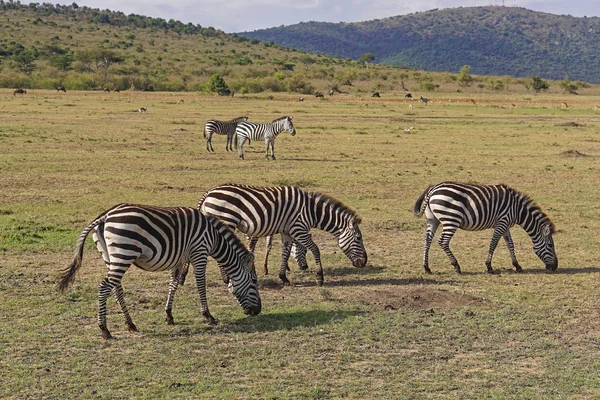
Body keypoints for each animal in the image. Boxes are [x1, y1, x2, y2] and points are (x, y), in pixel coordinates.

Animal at [58, 205, 260, 340]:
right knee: (104, 287)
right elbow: (200, 285)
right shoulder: (200, 253)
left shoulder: (180, 258)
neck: (215, 238)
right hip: (124, 252)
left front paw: (169, 315)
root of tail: (105, 216)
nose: (257, 311)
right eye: (254, 282)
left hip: (111, 256)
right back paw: (104, 329)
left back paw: (130, 323)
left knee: (116, 288)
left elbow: (173, 283)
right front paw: (208, 316)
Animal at [197, 183, 368, 286]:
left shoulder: (288, 231)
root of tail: (209, 193)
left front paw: (283, 277)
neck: (311, 211)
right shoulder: (299, 228)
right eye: (358, 238)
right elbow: (315, 249)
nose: (364, 263)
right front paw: (320, 277)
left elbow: (285, 253)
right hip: (226, 219)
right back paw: (226, 279)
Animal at [412, 182, 556, 274]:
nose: (555, 267)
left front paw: (517, 265)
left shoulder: (506, 225)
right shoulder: (502, 222)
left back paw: (426, 268)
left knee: (427, 240)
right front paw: (489, 266)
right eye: (550, 245)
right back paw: (457, 266)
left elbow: (510, 244)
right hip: (451, 219)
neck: (517, 210)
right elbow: (494, 243)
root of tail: (432, 190)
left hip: (433, 220)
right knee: (443, 242)